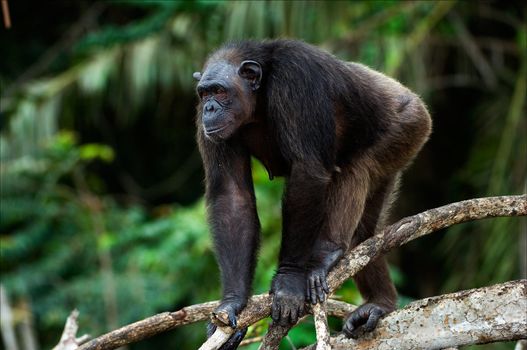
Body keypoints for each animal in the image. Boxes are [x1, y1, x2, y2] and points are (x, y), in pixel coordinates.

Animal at [194, 39, 434, 346]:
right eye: (204, 93)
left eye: (220, 91)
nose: (209, 108)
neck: (258, 98)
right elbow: (232, 197)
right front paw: (232, 303)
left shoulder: (296, 80)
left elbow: (307, 171)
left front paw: (288, 283)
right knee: (365, 233)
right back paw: (379, 303)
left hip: (407, 128)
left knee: (356, 166)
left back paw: (327, 254)